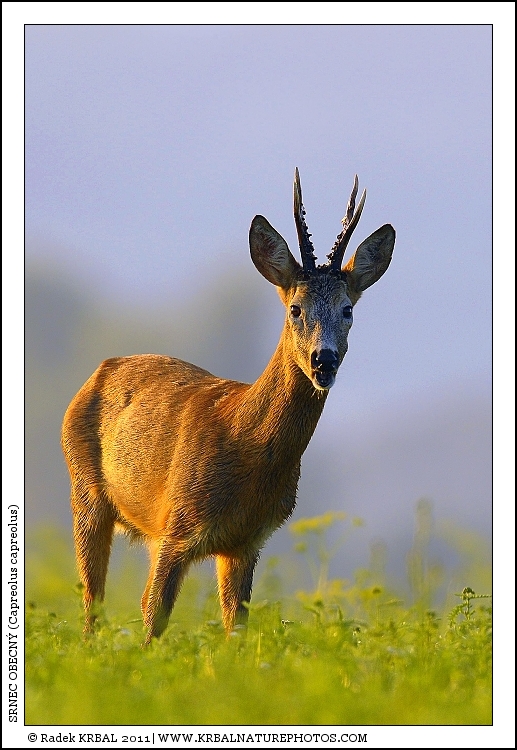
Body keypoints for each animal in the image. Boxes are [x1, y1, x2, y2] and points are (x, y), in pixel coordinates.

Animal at [61, 169, 395, 644]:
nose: (324, 360)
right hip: (85, 493)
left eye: (348, 309)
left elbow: (235, 625)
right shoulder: (178, 524)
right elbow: (153, 613)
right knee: (93, 600)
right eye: (295, 308)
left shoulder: (246, 542)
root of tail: (99, 369)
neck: (244, 442)